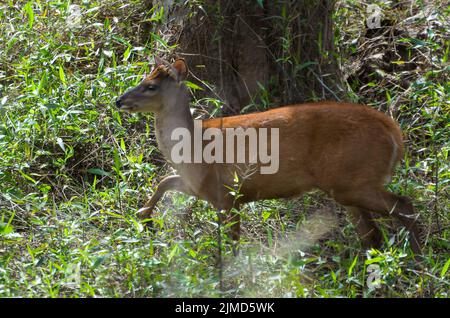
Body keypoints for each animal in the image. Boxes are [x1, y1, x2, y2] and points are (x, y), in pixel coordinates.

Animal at [116, 57, 422, 253]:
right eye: (143, 78)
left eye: (151, 86)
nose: (119, 100)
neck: (193, 148)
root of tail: (394, 133)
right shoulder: (199, 187)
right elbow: (165, 181)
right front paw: (143, 216)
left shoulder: (228, 193)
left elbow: (231, 243)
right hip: (347, 184)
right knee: (372, 234)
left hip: (352, 179)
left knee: (404, 206)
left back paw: (417, 258)